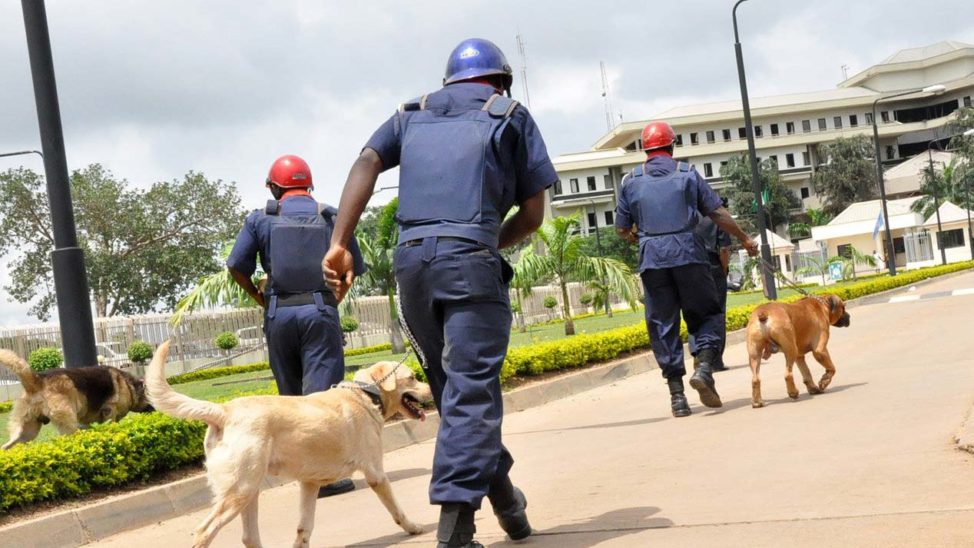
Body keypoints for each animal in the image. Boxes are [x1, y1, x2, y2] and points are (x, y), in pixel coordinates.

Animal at [0, 348, 152, 448]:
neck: (129, 386)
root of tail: (37, 380)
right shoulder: (110, 411)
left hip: (26, 432)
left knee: (6, 447)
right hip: (67, 424)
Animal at [146, 340, 434, 544]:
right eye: (412, 377)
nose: (433, 389)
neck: (364, 394)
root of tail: (224, 410)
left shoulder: (309, 484)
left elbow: (304, 528)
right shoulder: (376, 474)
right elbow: (397, 510)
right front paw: (413, 527)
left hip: (248, 490)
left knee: (249, 537)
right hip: (239, 490)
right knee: (204, 531)